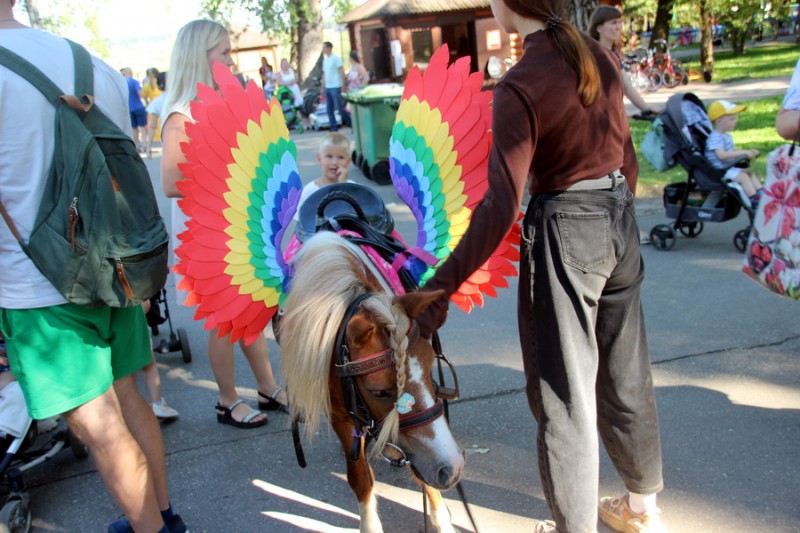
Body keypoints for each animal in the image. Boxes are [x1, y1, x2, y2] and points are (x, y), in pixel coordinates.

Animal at [282, 232, 466, 532]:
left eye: (430, 369)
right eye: (378, 391)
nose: (452, 468)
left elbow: (422, 475)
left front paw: (441, 519)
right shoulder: (341, 415)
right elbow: (360, 477)